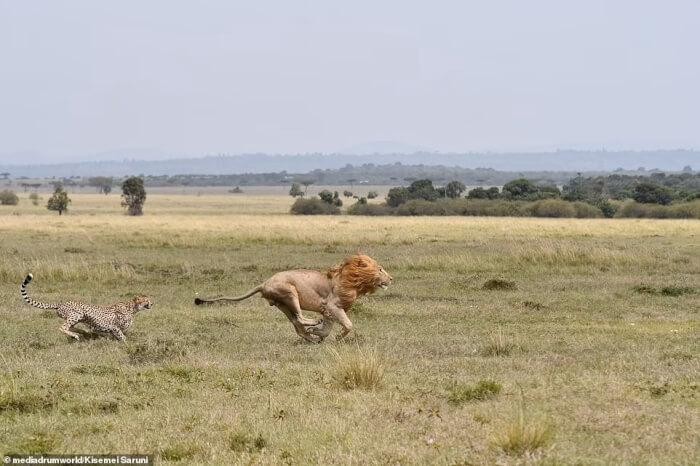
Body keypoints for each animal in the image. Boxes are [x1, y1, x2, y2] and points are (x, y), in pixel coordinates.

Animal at [21, 274, 152, 342]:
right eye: (146, 300)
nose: (152, 304)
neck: (132, 308)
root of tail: (60, 303)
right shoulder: (114, 327)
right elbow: (122, 337)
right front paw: (127, 344)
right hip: (76, 314)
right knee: (63, 327)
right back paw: (76, 335)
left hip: (79, 317)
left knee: (71, 327)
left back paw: (82, 332)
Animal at [194, 255, 392, 342]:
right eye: (380, 269)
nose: (391, 279)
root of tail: (264, 283)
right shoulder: (332, 306)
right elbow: (348, 325)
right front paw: (333, 336)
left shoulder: (329, 310)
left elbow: (328, 328)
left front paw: (320, 334)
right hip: (290, 293)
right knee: (300, 318)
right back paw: (313, 325)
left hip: (283, 305)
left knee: (297, 323)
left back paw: (310, 336)